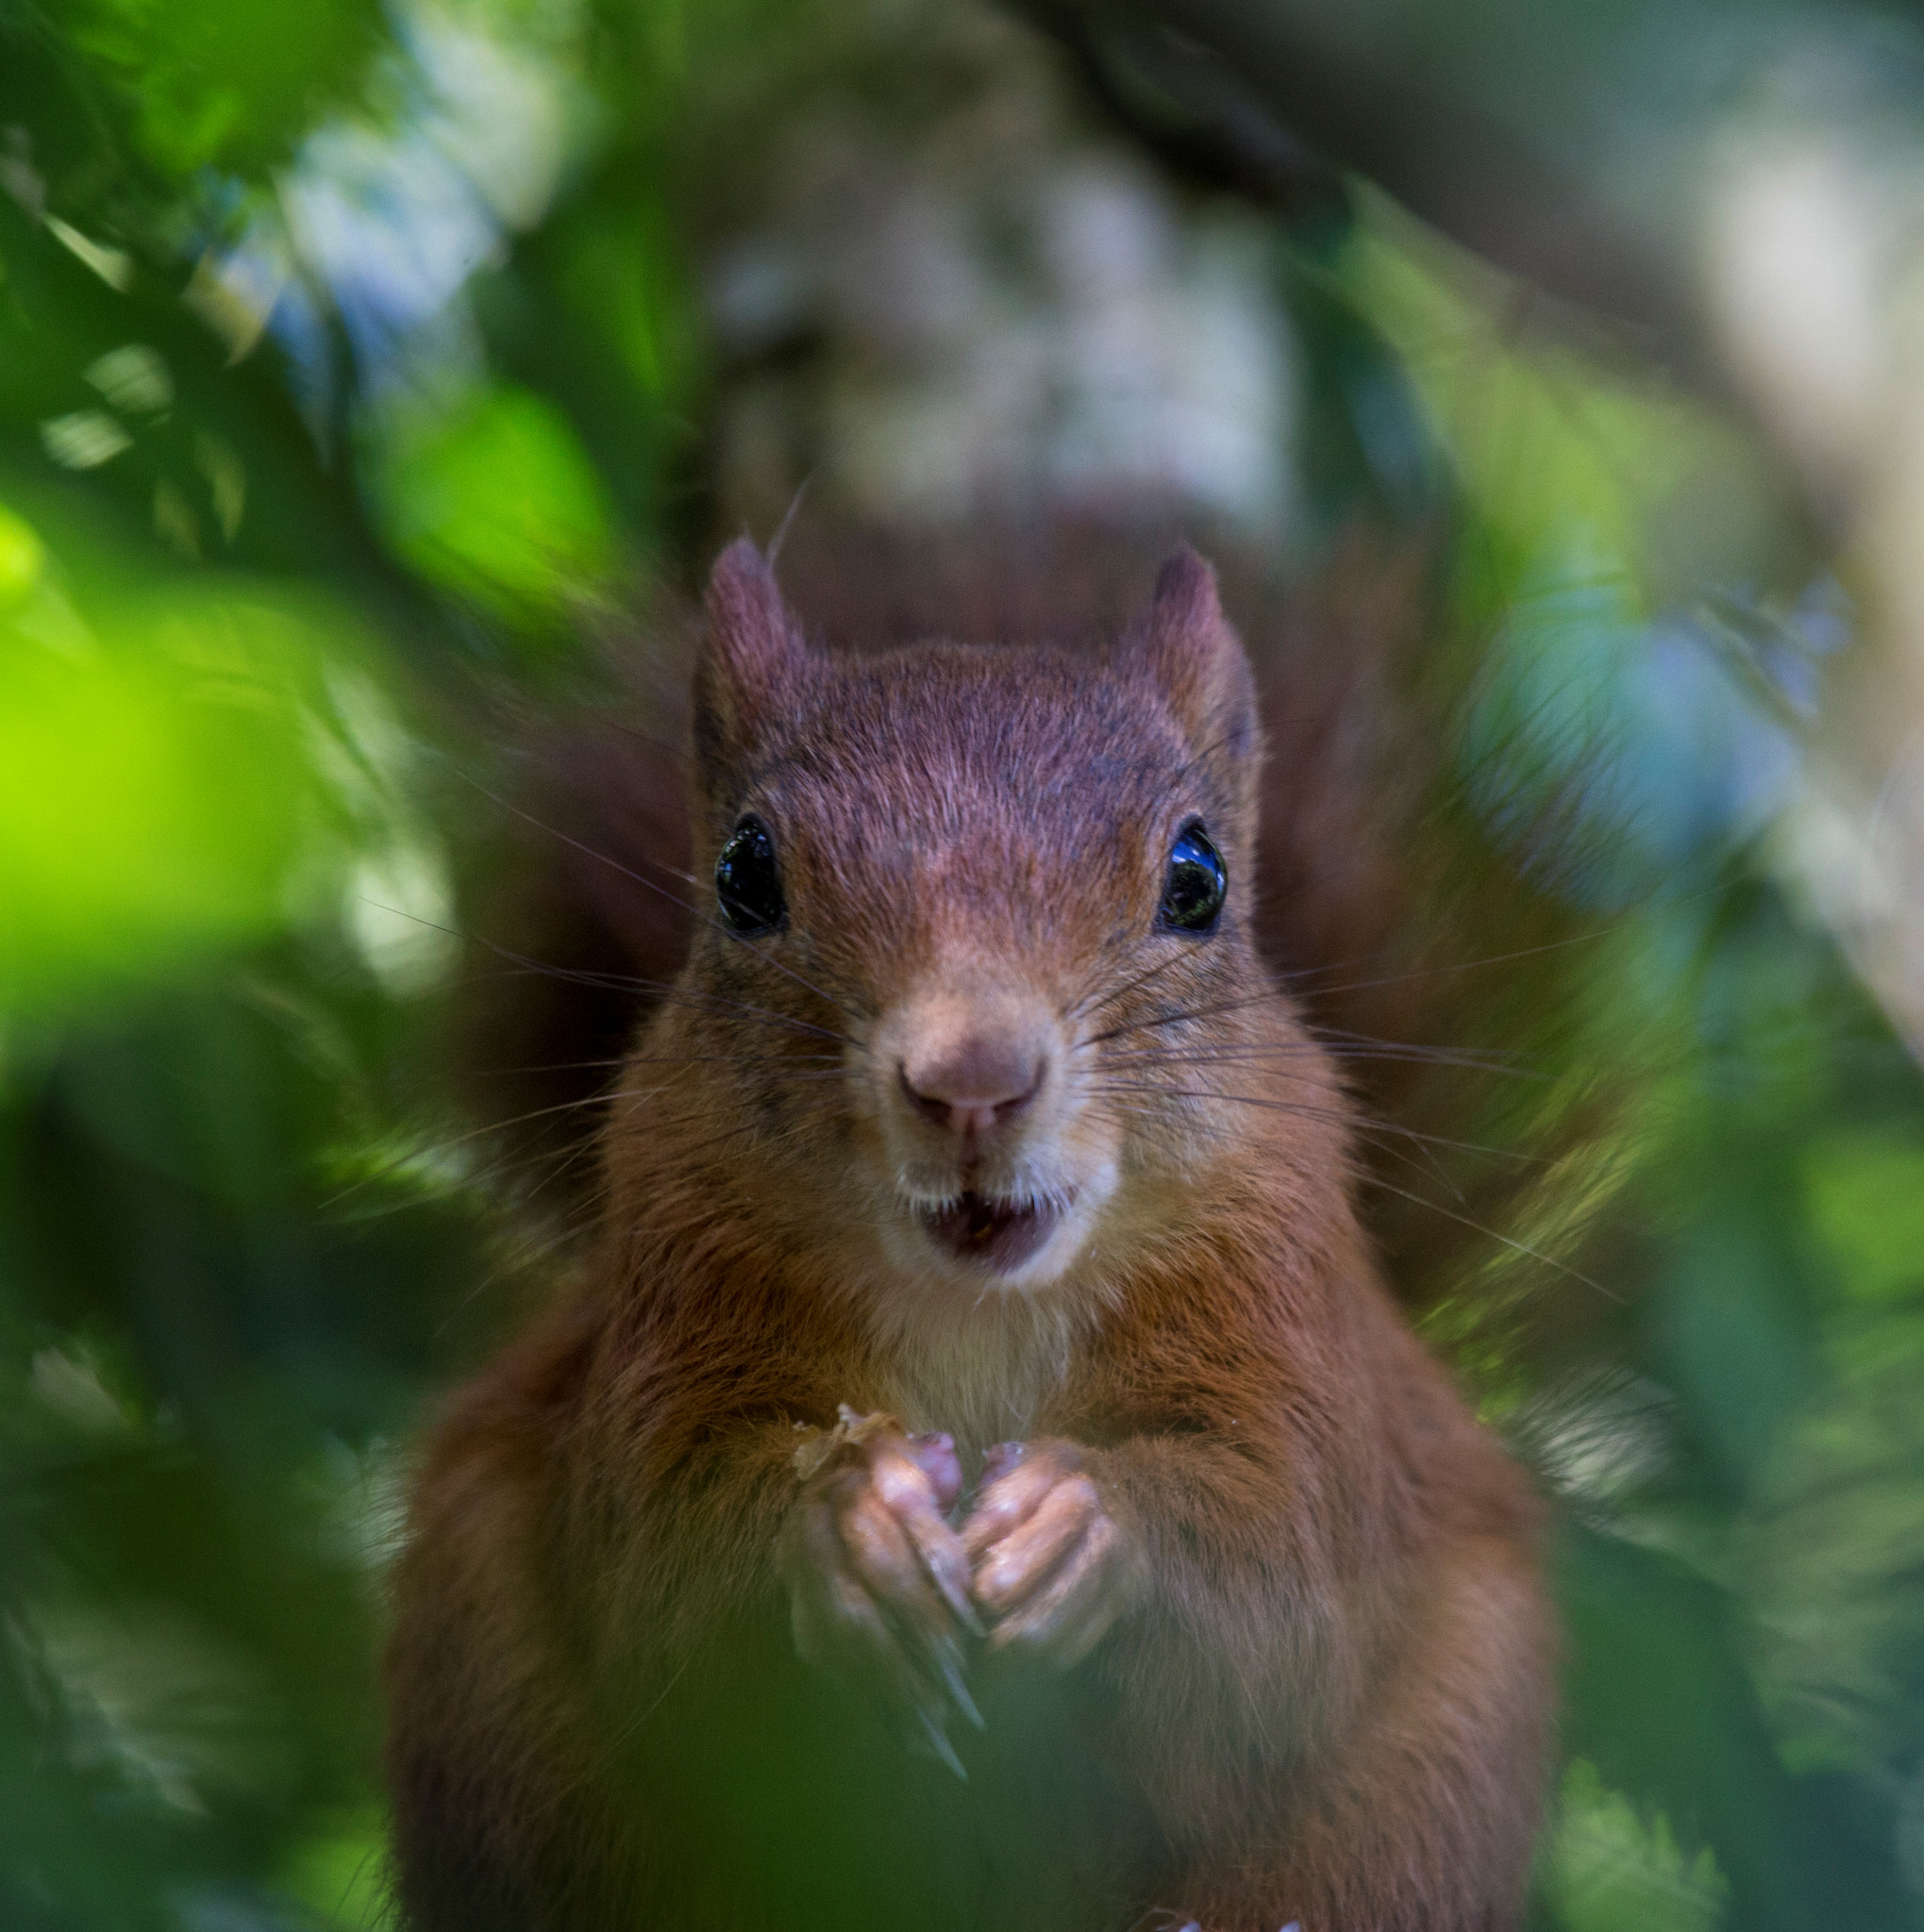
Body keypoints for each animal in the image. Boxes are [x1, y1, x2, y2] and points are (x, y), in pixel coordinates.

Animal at [382, 537, 1552, 1932]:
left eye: (1197, 878)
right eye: (743, 876)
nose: (971, 1080)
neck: (977, 1306)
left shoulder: (1285, 1310)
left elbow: (1282, 1596)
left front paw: (1076, 1522)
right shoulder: (673, 1286)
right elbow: (658, 1577)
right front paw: (855, 1526)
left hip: (1418, 1794)